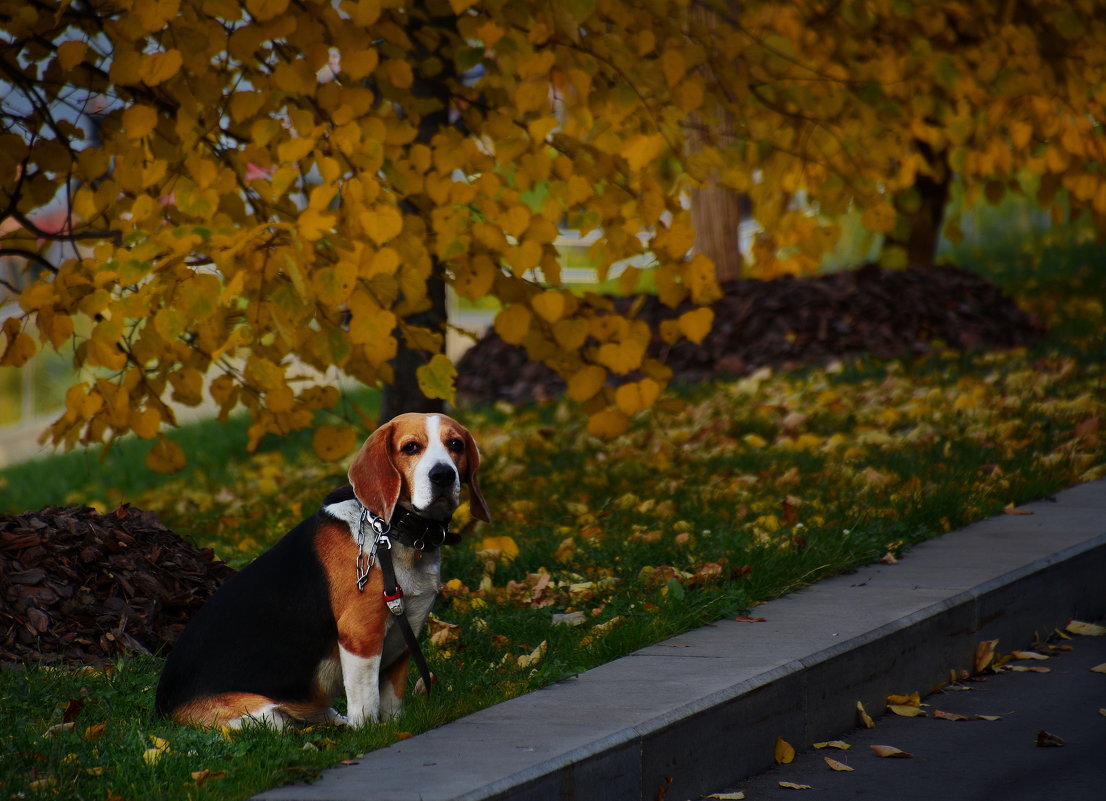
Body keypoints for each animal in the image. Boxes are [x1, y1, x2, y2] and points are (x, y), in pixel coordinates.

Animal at [154, 415, 488, 730]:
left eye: (455, 444)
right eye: (411, 447)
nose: (443, 475)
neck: (393, 532)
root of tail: (163, 707)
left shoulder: (406, 633)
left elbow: (393, 699)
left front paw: (395, 727)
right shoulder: (360, 635)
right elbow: (366, 704)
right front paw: (369, 732)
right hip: (266, 715)